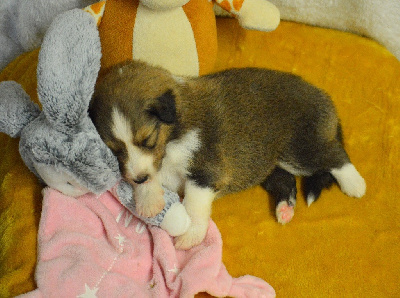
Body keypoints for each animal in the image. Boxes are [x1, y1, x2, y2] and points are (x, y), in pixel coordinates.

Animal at [90, 60, 366, 249]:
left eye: (147, 139)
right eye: (114, 150)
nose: (137, 179)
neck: (175, 130)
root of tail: (325, 98)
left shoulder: (205, 172)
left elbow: (193, 206)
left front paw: (190, 236)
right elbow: (151, 175)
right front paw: (149, 201)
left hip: (299, 150)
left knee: (334, 155)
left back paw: (355, 185)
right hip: (266, 163)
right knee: (286, 181)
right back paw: (284, 209)